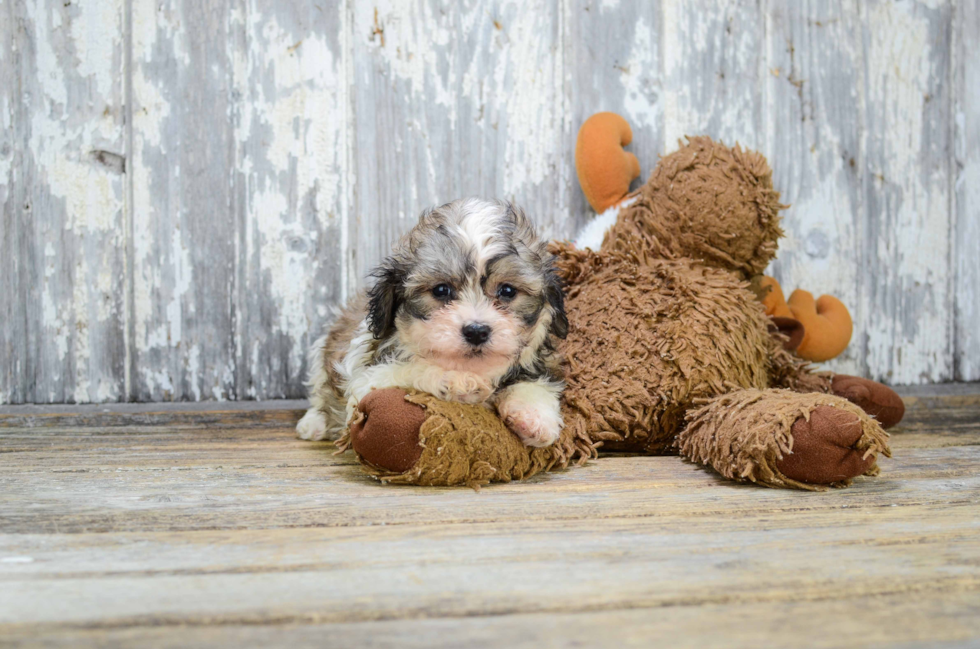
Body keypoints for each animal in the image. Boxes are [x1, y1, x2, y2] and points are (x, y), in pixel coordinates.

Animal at [294, 197, 568, 448]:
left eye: (508, 291)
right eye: (441, 290)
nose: (476, 331)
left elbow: (534, 384)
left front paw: (535, 417)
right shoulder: (365, 383)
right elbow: (412, 370)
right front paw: (458, 380)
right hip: (320, 357)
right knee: (319, 394)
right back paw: (314, 423)